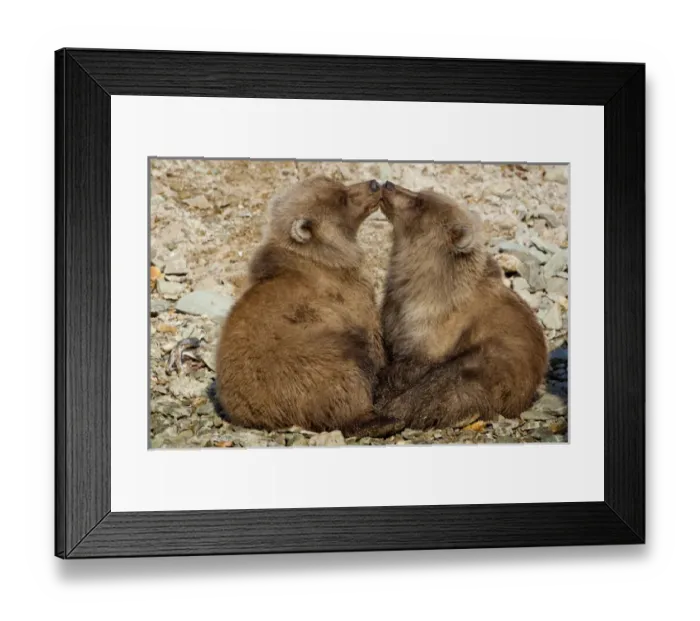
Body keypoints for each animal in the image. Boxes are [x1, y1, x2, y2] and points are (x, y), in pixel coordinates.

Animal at [214, 175, 389, 435]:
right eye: (342, 198)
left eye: (339, 183)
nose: (374, 184)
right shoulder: (350, 298)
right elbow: (373, 337)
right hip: (313, 361)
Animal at [374, 181, 549, 429]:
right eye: (419, 193)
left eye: (420, 202)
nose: (388, 184)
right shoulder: (396, 308)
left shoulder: (437, 325)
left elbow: (413, 367)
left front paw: (384, 392)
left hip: (493, 363)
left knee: (447, 384)